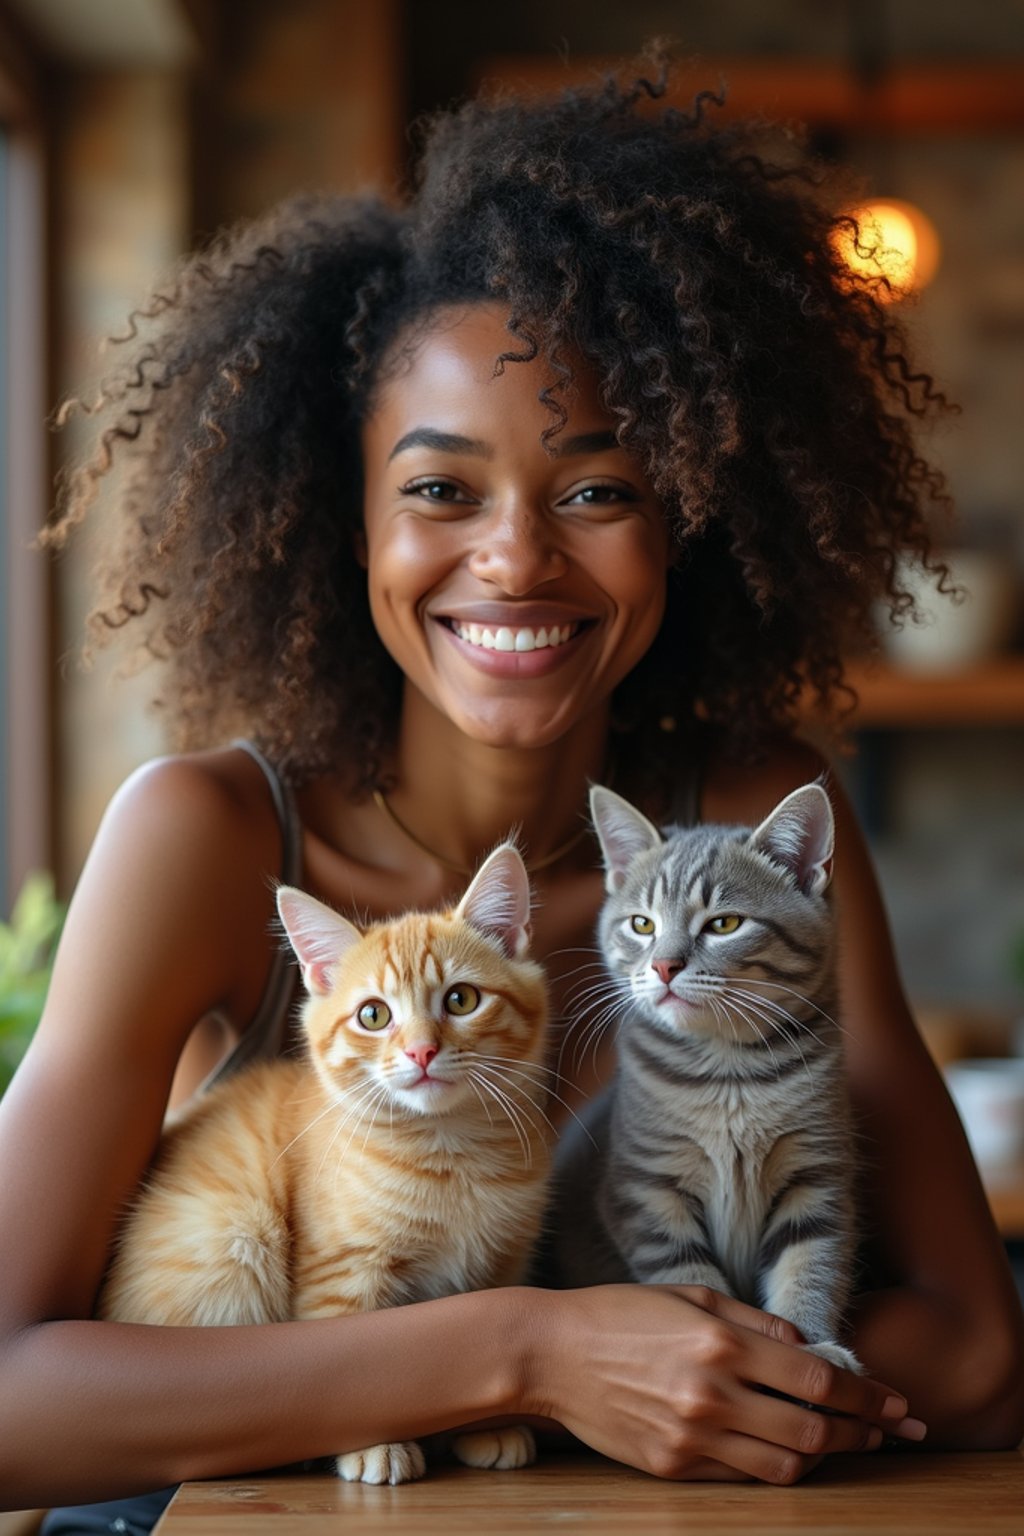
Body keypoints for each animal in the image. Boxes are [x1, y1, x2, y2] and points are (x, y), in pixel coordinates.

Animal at [98, 847, 552, 1480]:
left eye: (461, 999)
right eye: (373, 1015)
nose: (421, 1051)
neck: (449, 1150)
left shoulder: (501, 1264)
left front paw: (489, 1427)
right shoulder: (342, 1269)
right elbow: (352, 1358)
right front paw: (373, 1445)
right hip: (235, 1237)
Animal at [555, 786, 859, 1376]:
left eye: (724, 925)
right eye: (642, 925)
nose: (664, 966)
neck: (728, 1073)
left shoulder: (817, 1176)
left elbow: (810, 1268)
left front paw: (816, 1346)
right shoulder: (646, 1190)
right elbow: (691, 1280)